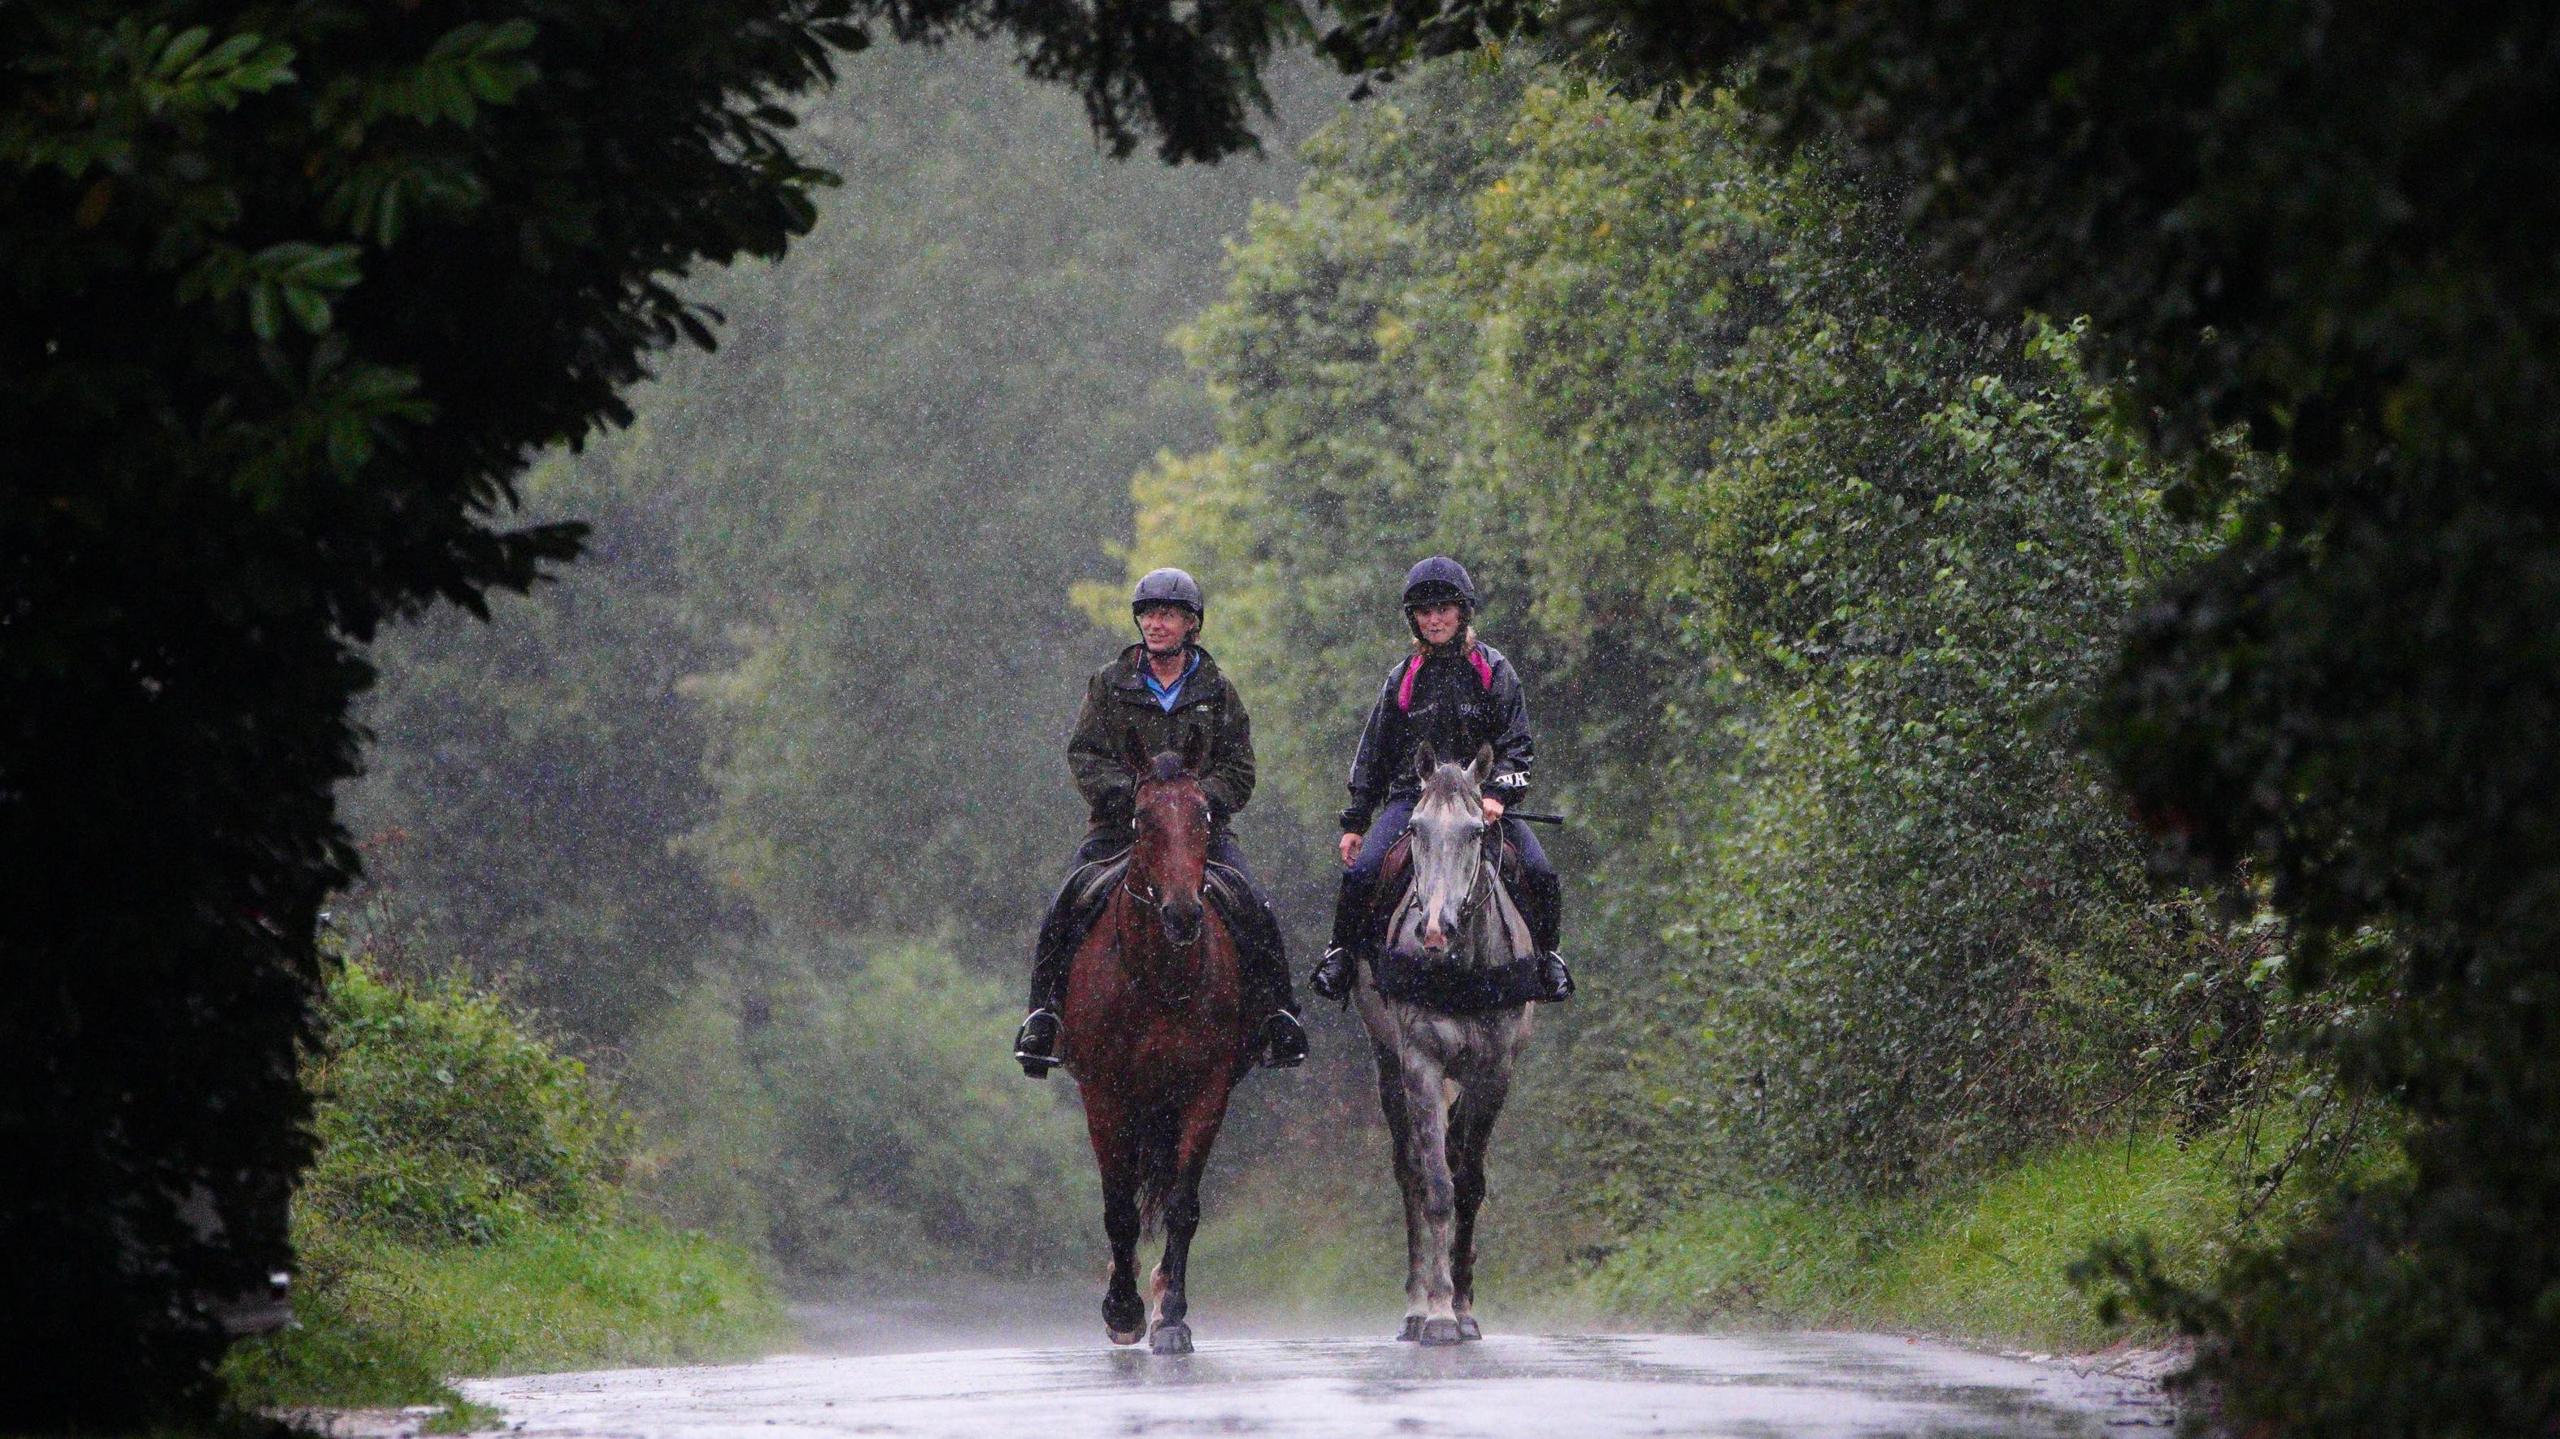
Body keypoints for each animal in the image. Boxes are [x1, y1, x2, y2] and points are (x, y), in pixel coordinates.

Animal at [1059, 732, 1249, 1351]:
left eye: (1205, 814)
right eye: (1141, 818)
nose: (1183, 913)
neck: (1159, 974)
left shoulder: (1207, 1091)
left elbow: (1183, 1207)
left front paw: (1172, 1318)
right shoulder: (1104, 1094)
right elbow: (1118, 1209)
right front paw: (1122, 1311)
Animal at [1361, 742, 1536, 1341]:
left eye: (1476, 831)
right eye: (1415, 827)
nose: (1435, 930)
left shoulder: (1495, 1070)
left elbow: (1470, 1183)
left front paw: (1463, 1307)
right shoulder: (1420, 1061)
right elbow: (1436, 1183)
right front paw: (1436, 1312)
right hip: (1389, 1066)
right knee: (1411, 1167)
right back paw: (1415, 1307)